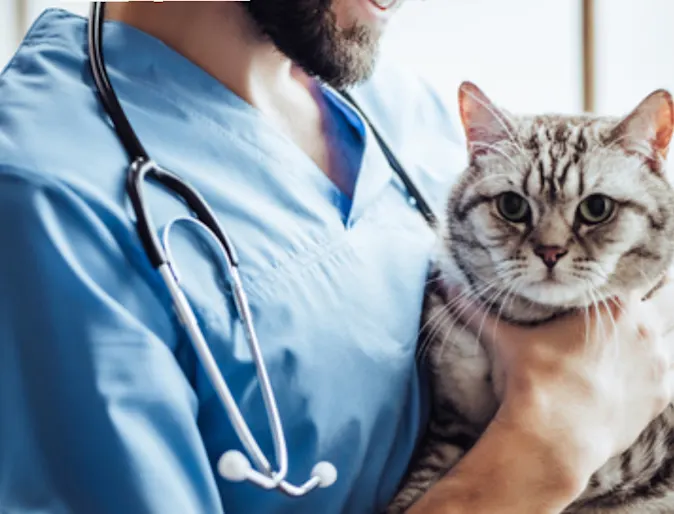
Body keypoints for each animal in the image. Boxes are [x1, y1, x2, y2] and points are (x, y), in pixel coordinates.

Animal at [384, 82, 672, 510]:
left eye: (596, 207)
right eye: (512, 205)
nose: (550, 251)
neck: (534, 318)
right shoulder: (450, 422)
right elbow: (421, 481)